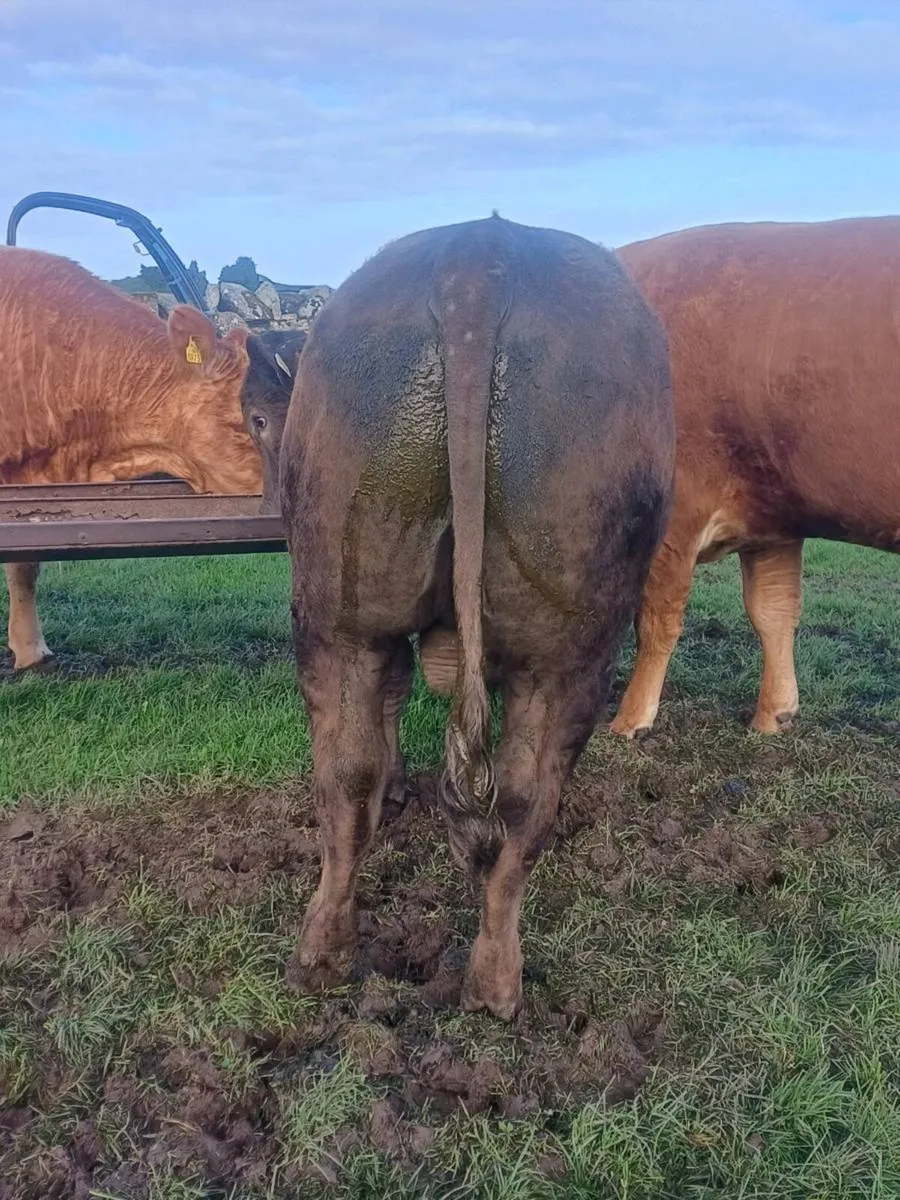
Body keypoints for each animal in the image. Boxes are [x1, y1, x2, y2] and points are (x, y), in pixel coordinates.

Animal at [279, 214, 675, 1019]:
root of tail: (476, 255)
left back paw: (324, 956)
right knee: (521, 800)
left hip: (342, 603)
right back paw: (496, 986)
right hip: (567, 650)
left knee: (350, 773)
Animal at [609, 217, 900, 737]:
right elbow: (774, 611)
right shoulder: (773, 519)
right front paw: (774, 714)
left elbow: (657, 620)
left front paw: (631, 720)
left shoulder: (676, 512)